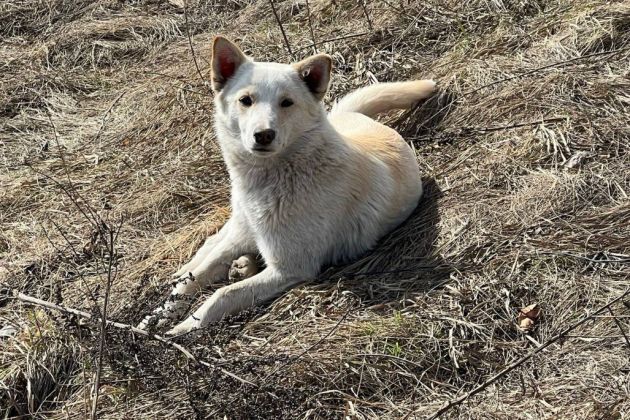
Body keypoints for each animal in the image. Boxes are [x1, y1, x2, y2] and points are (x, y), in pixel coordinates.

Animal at [139, 36, 436, 334]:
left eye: (286, 103)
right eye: (245, 100)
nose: (264, 135)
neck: (273, 179)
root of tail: (350, 115)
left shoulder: (288, 269)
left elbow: (222, 295)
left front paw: (181, 330)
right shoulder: (249, 243)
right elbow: (191, 282)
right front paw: (152, 320)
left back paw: (241, 266)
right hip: (239, 228)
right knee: (211, 245)